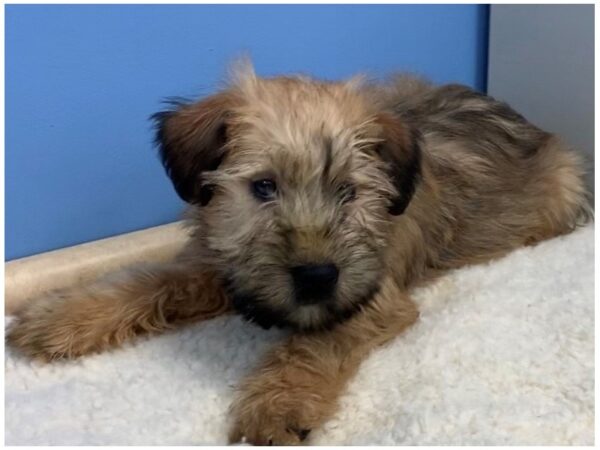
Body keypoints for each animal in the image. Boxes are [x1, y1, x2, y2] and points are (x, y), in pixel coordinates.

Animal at [7, 61, 592, 444]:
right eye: (263, 187)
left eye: (349, 192)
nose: (315, 276)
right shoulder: (222, 260)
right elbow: (151, 280)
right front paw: (61, 318)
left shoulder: (370, 293)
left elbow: (314, 343)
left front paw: (279, 402)